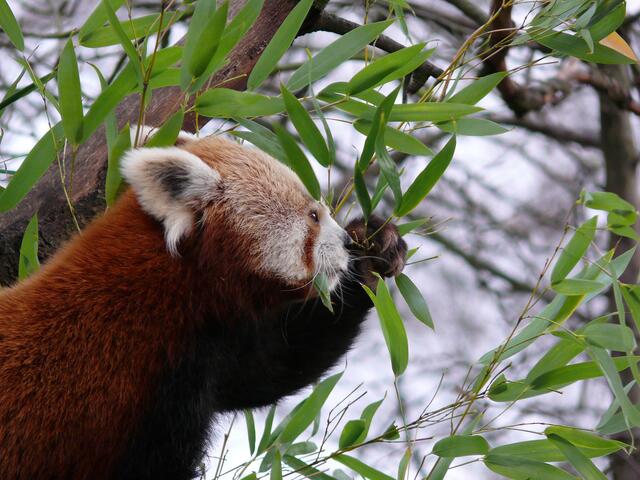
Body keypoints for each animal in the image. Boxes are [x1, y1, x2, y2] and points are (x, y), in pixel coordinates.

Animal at [0, 132, 407, 480]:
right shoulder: (145, 390)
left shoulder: (213, 351)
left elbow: (271, 366)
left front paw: (371, 250)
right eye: (313, 215)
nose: (344, 243)